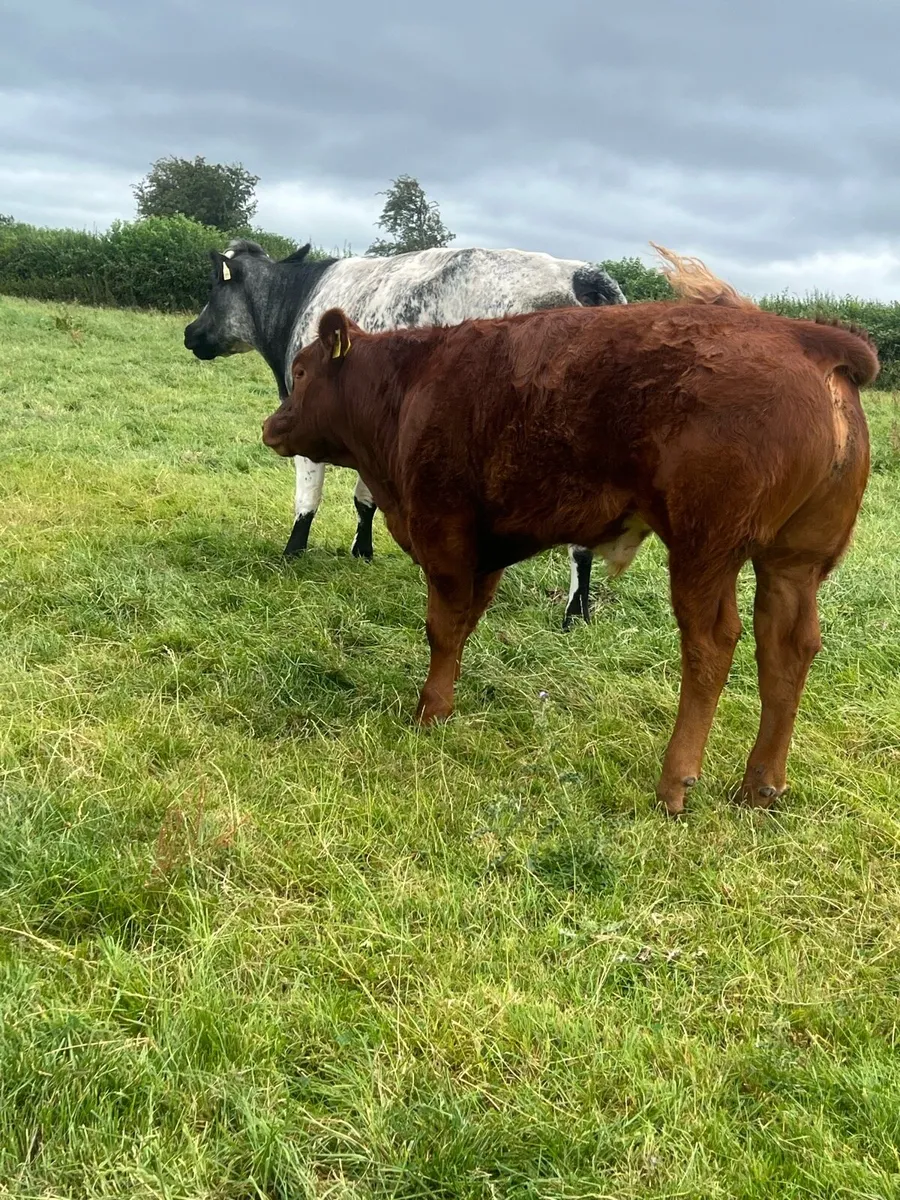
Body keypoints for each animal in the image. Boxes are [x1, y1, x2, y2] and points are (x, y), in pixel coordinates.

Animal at [183, 240, 627, 629]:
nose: (189, 332)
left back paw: (571, 613)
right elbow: (364, 499)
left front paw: (292, 552)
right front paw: (362, 552)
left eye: (214, 286)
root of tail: (582, 275)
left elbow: (308, 498)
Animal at [260, 245, 877, 817]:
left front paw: (429, 712)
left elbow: (441, 627)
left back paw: (675, 783)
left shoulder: (445, 532)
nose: (271, 425)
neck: (413, 384)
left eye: (301, 372)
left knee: (712, 646)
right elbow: (462, 627)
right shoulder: (485, 549)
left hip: (705, 550)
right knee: (787, 647)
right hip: (794, 561)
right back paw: (760, 786)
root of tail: (803, 335)